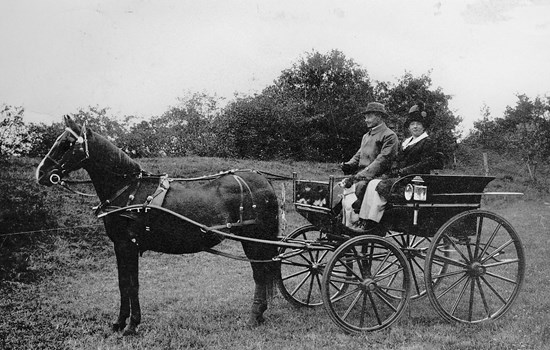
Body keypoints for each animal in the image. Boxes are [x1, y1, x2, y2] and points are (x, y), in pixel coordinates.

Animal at [36, 116, 282, 334]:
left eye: (66, 143)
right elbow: (122, 284)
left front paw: (132, 325)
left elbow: (132, 284)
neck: (127, 189)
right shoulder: (120, 246)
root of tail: (263, 181)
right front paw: (119, 323)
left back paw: (254, 316)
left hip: (254, 240)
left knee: (260, 274)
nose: (40, 174)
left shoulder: (128, 245)